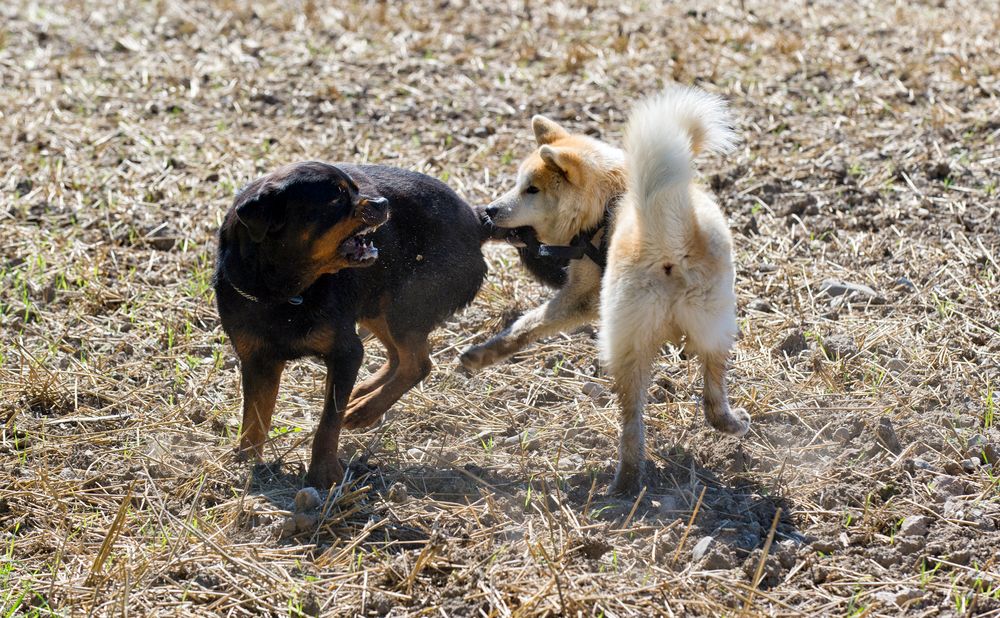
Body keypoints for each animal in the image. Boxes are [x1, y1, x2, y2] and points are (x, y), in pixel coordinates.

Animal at [216, 160, 488, 486]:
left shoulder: (344, 352)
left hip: (406, 304)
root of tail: (476, 222)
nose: (383, 202)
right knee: (399, 356)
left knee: (417, 363)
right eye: (336, 199)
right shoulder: (257, 360)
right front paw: (245, 465)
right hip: (378, 304)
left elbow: (329, 420)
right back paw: (363, 394)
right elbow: (254, 418)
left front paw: (324, 472)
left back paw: (364, 410)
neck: (283, 294)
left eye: (355, 189)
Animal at [464, 84, 748, 494]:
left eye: (530, 189)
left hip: (622, 342)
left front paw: (482, 354)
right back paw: (730, 423)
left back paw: (625, 482)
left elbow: (528, 324)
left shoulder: (581, 296)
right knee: (712, 394)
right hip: (716, 325)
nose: (490, 210)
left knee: (632, 424)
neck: (610, 197)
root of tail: (667, 235)